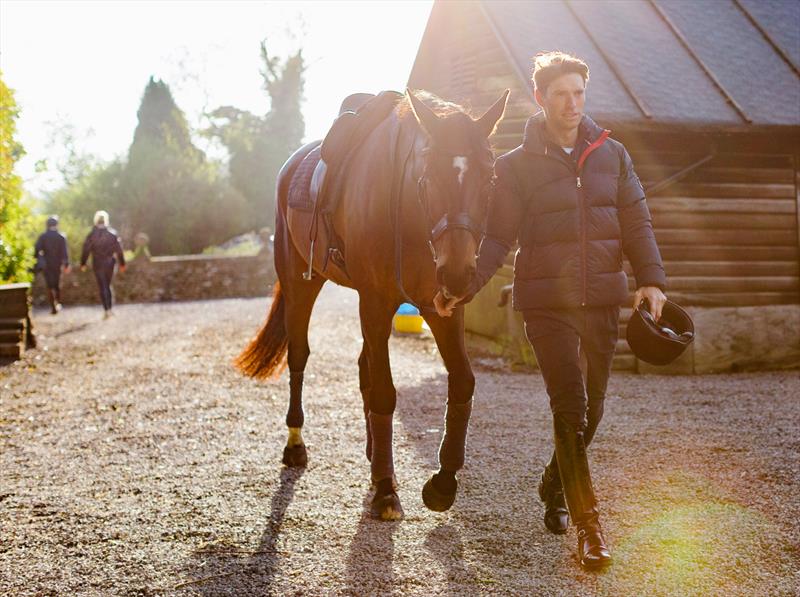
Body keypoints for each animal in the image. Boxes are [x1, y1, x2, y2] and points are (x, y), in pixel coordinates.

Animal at [234, 87, 506, 516]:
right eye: (428, 177)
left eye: (490, 178)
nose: (459, 273)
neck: (408, 212)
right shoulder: (375, 301)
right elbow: (383, 392)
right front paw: (385, 490)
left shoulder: (439, 308)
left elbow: (462, 381)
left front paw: (442, 483)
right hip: (300, 283)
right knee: (299, 355)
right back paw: (296, 444)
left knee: (364, 366)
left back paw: (374, 453)